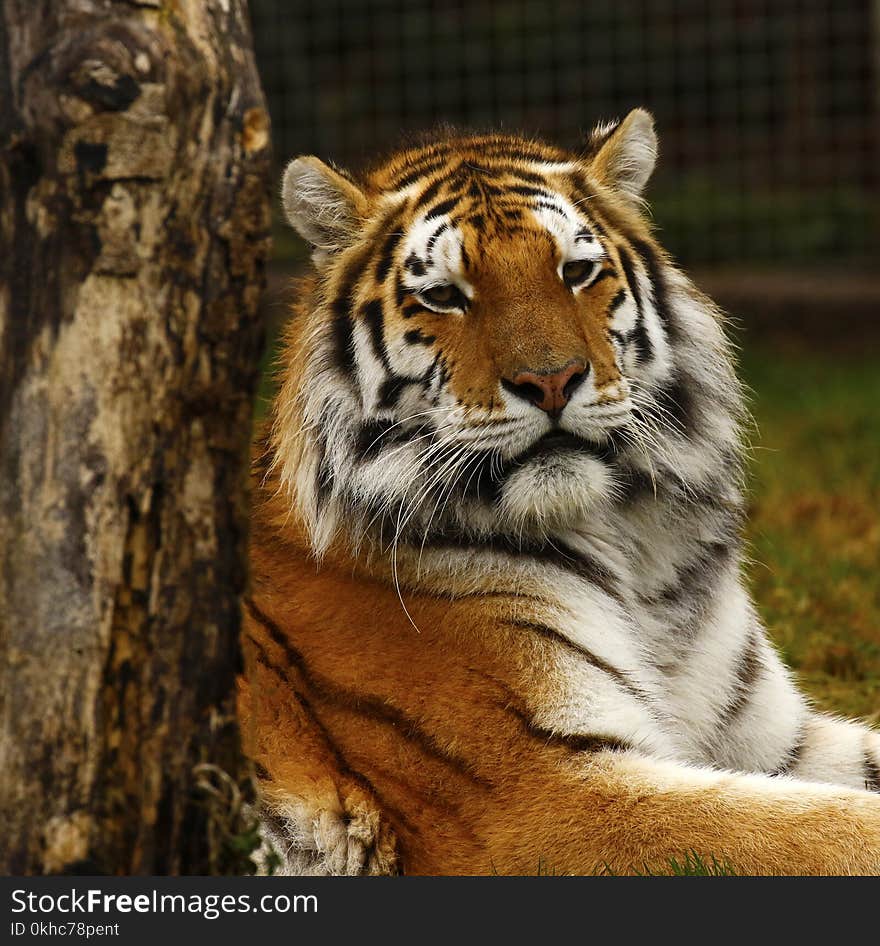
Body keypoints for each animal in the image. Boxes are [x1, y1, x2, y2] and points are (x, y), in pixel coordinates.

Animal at [237, 109, 880, 872]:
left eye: (576, 272)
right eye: (444, 295)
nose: (551, 380)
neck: (636, 553)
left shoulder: (770, 737)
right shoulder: (540, 796)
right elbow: (825, 828)